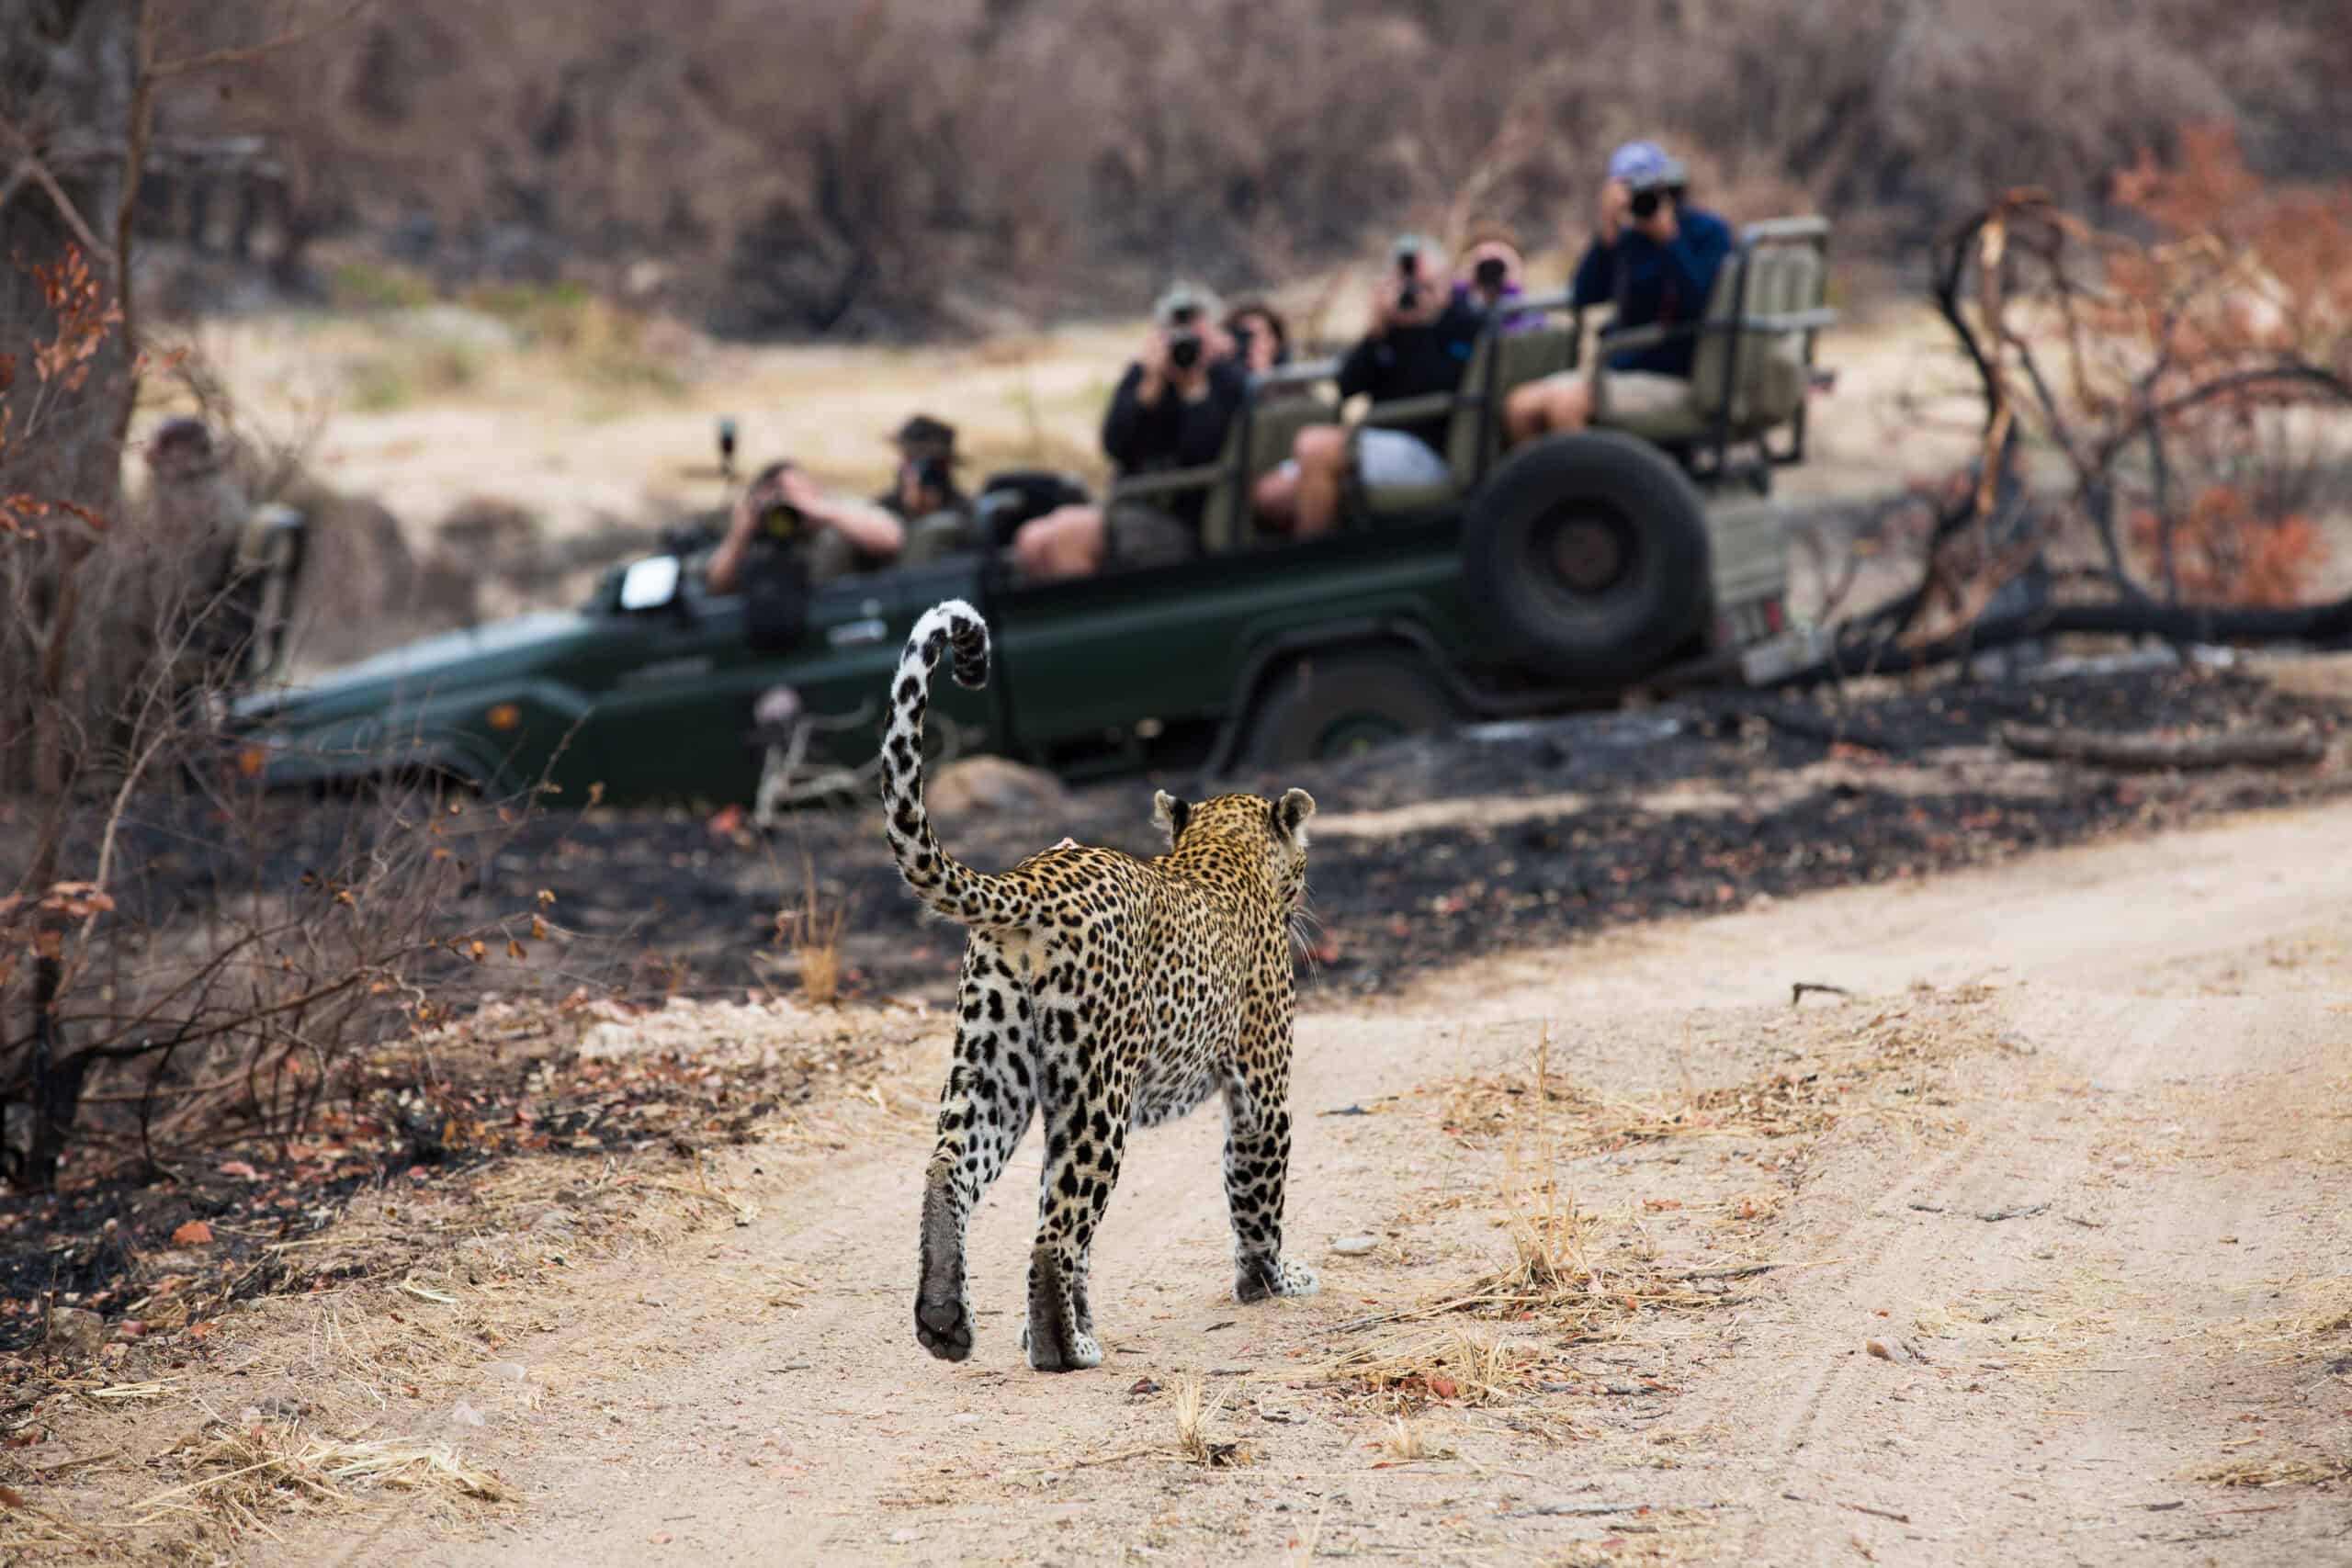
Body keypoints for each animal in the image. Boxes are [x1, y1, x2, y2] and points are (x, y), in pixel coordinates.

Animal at [884, 602, 1326, 1372]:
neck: (1222, 848)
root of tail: (1028, 878)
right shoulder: (1261, 1087)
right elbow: (1256, 1194)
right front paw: (1271, 1281)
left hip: (992, 1065)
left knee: (949, 1171)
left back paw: (947, 1319)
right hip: (1097, 1090)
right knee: (1053, 1232)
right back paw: (1063, 1349)